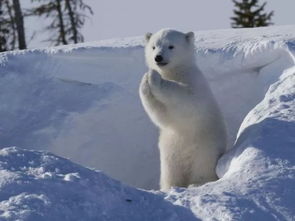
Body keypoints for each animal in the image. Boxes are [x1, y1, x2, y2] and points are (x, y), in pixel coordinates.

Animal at [140, 29, 228, 191]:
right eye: (154, 46)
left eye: (171, 46)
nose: (158, 57)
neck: (175, 72)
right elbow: (161, 115)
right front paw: (146, 80)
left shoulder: (195, 82)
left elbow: (187, 99)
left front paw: (154, 77)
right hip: (170, 153)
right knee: (171, 173)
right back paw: (170, 187)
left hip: (205, 149)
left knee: (202, 169)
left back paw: (196, 183)